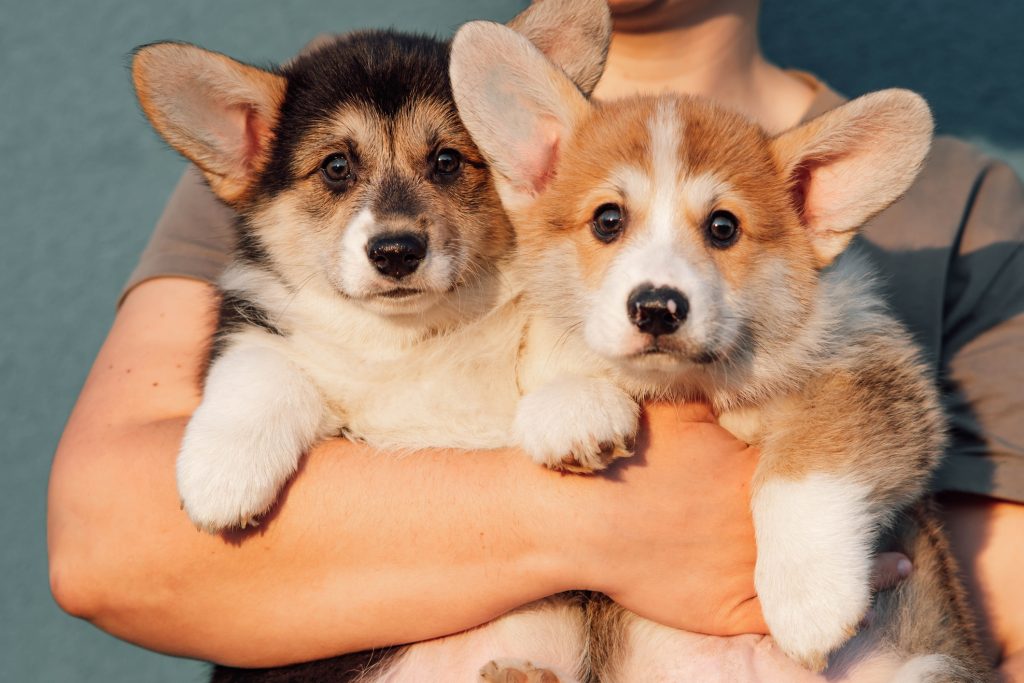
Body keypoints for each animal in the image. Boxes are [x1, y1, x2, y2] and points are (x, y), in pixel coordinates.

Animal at [448, 21, 991, 683]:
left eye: (723, 228)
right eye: (608, 219)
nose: (657, 307)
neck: (691, 383)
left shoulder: (876, 376)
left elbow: (805, 462)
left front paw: (808, 598)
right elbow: (556, 357)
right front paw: (574, 407)